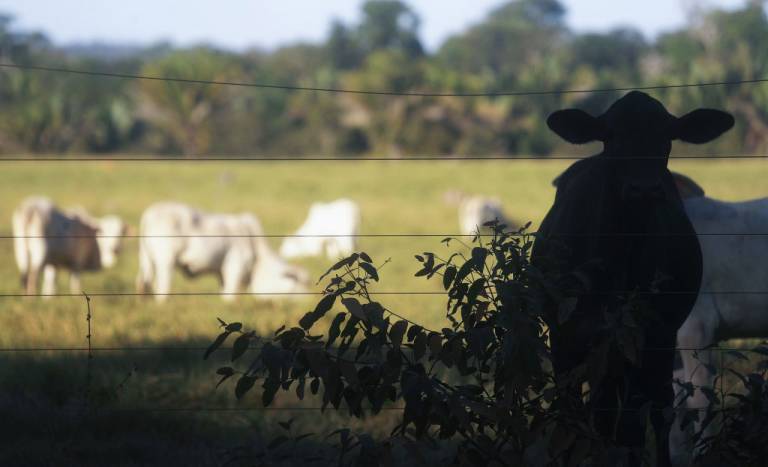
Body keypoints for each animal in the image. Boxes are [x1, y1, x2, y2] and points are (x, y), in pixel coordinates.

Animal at [136, 202, 308, 304]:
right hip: (165, 260)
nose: (308, 298)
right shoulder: (235, 266)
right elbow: (230, 295)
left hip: (146, 259)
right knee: (162, 286)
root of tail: (151, 213)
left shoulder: (221, 272)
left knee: (143, 281)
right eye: (298, 281)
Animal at [532, 89, 736, 466]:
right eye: (611, 136)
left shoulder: (650, 335)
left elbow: (635, 424)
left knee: (656, 410)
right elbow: (572, 420)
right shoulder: (566, 337)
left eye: (667, 137)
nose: (644, 188)